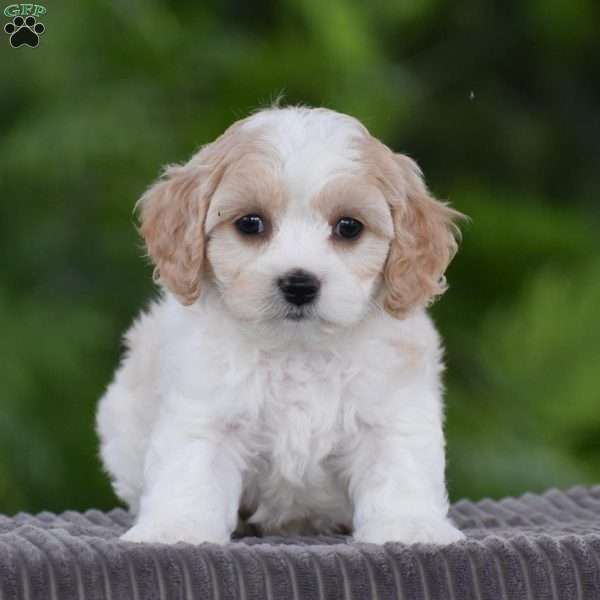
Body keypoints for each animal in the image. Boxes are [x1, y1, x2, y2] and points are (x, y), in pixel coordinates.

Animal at [96, 105, 466, 548]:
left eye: (349, 227)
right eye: (250, 223)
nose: (299, 284)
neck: (298, 349)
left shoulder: (393, 413)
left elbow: (399, 471)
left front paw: (410, 527)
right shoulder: (205, 412)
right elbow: (191, 471)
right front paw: (176, 528)